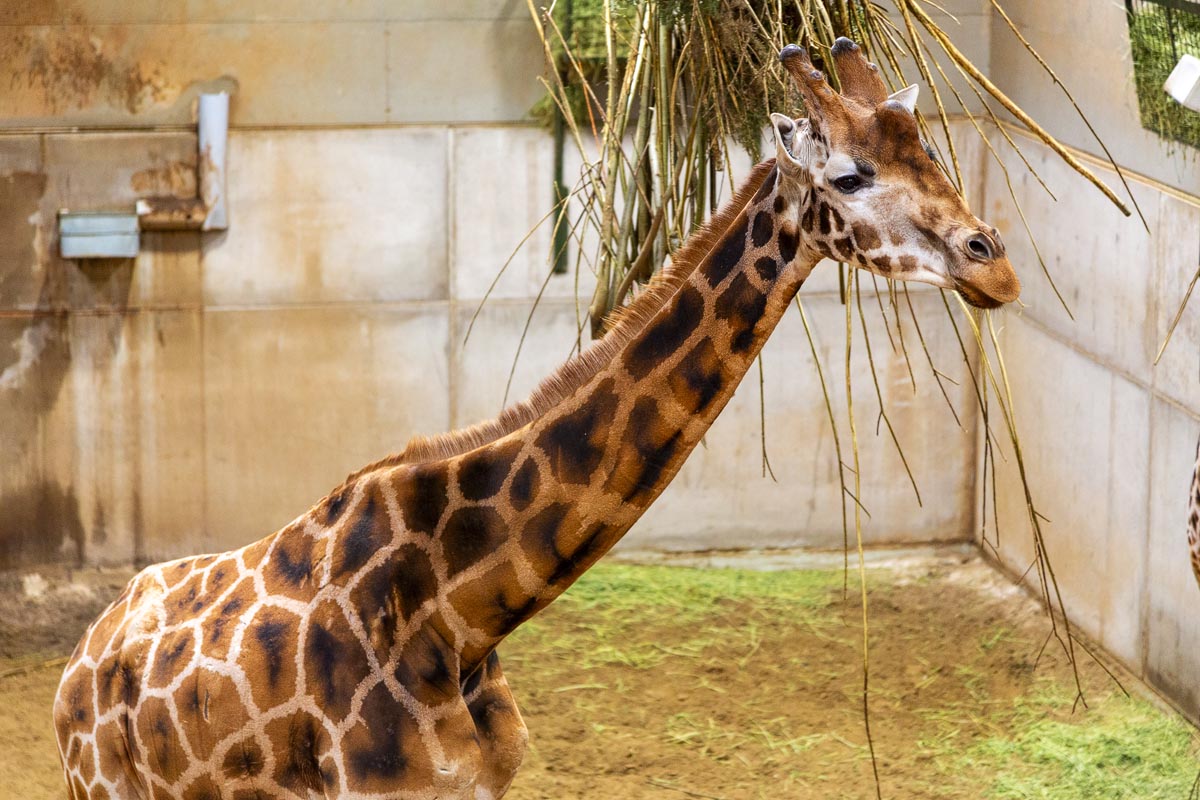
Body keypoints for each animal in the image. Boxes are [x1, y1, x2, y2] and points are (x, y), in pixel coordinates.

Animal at [53, 39, 1020, 800]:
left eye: (933, 153)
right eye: (850, 175)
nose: (995, 267)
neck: (462, 614)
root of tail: (77, 669)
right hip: (101, 791)